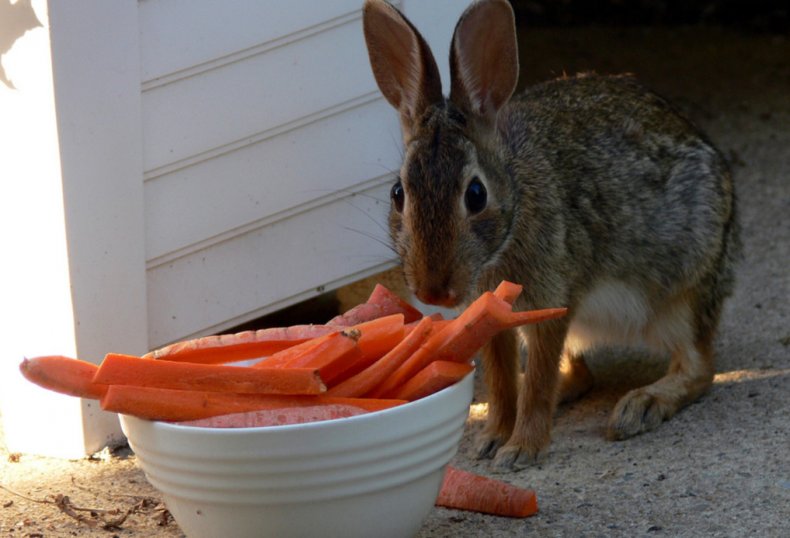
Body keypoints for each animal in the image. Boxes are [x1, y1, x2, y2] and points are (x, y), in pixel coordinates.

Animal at [362, 0, 740, 466]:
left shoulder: (551, 304)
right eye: (398, 193)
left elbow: (539, 381)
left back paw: (641, 406)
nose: (434, 292)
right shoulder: (495, 318)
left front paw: (520, 449)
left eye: (475, 194)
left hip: (685, 289)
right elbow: (503, 381)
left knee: (698, 366)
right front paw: (491, 438)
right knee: (579, 373)